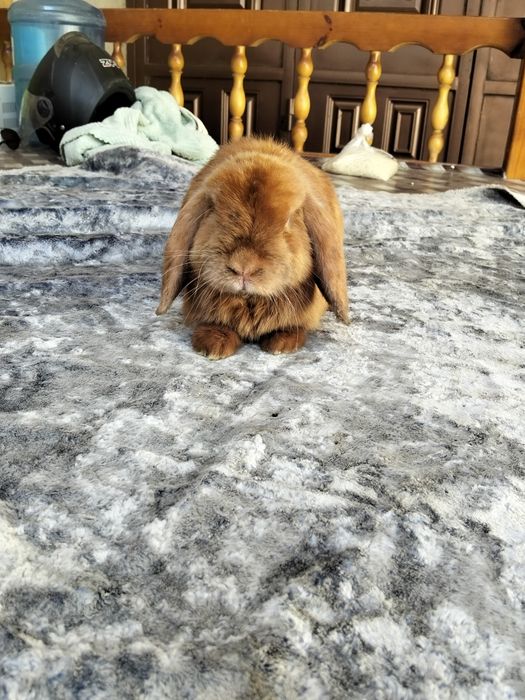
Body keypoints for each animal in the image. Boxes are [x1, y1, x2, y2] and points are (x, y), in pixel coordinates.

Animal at [156, 137, 349, 359]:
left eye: (289, 220)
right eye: (213, 210)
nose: (243, 267)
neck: (250, 301)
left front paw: (282, 344)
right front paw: (213, 346)